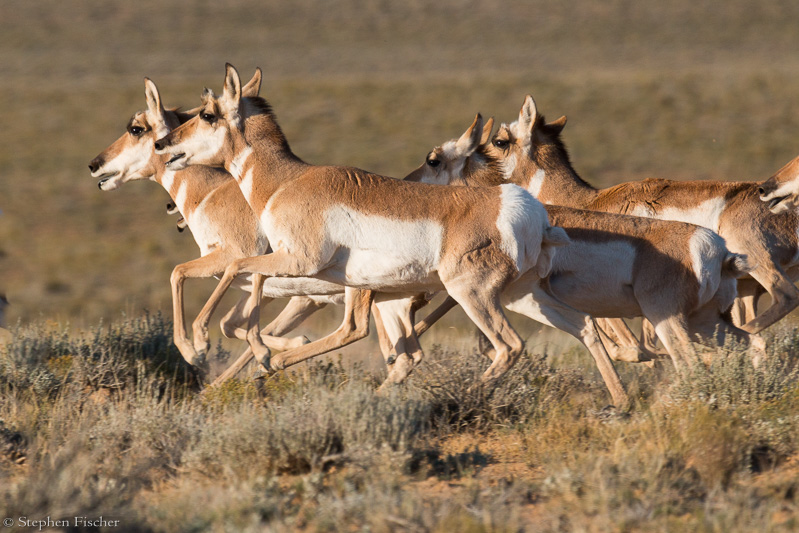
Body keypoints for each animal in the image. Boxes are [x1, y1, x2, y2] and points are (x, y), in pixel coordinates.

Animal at [89, 77, 348, 376]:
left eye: (136, 129)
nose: (94, 164)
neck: (211, 192)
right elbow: (229, 323)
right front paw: (286, 345)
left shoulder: (232, 256)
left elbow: (178, 273)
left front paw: (196, 350)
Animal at [153, 63, 620, 394]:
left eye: (207, 114)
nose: (161, 144)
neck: (285, 181)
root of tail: (525, 209)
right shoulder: (297, 269)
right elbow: (246, 292)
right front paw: (260, 354)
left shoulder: (296, 261)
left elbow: (234, 270)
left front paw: (198, 346)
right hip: (521, 295)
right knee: (584, 327)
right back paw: (620, 405)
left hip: (471, 294)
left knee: (509, 347)